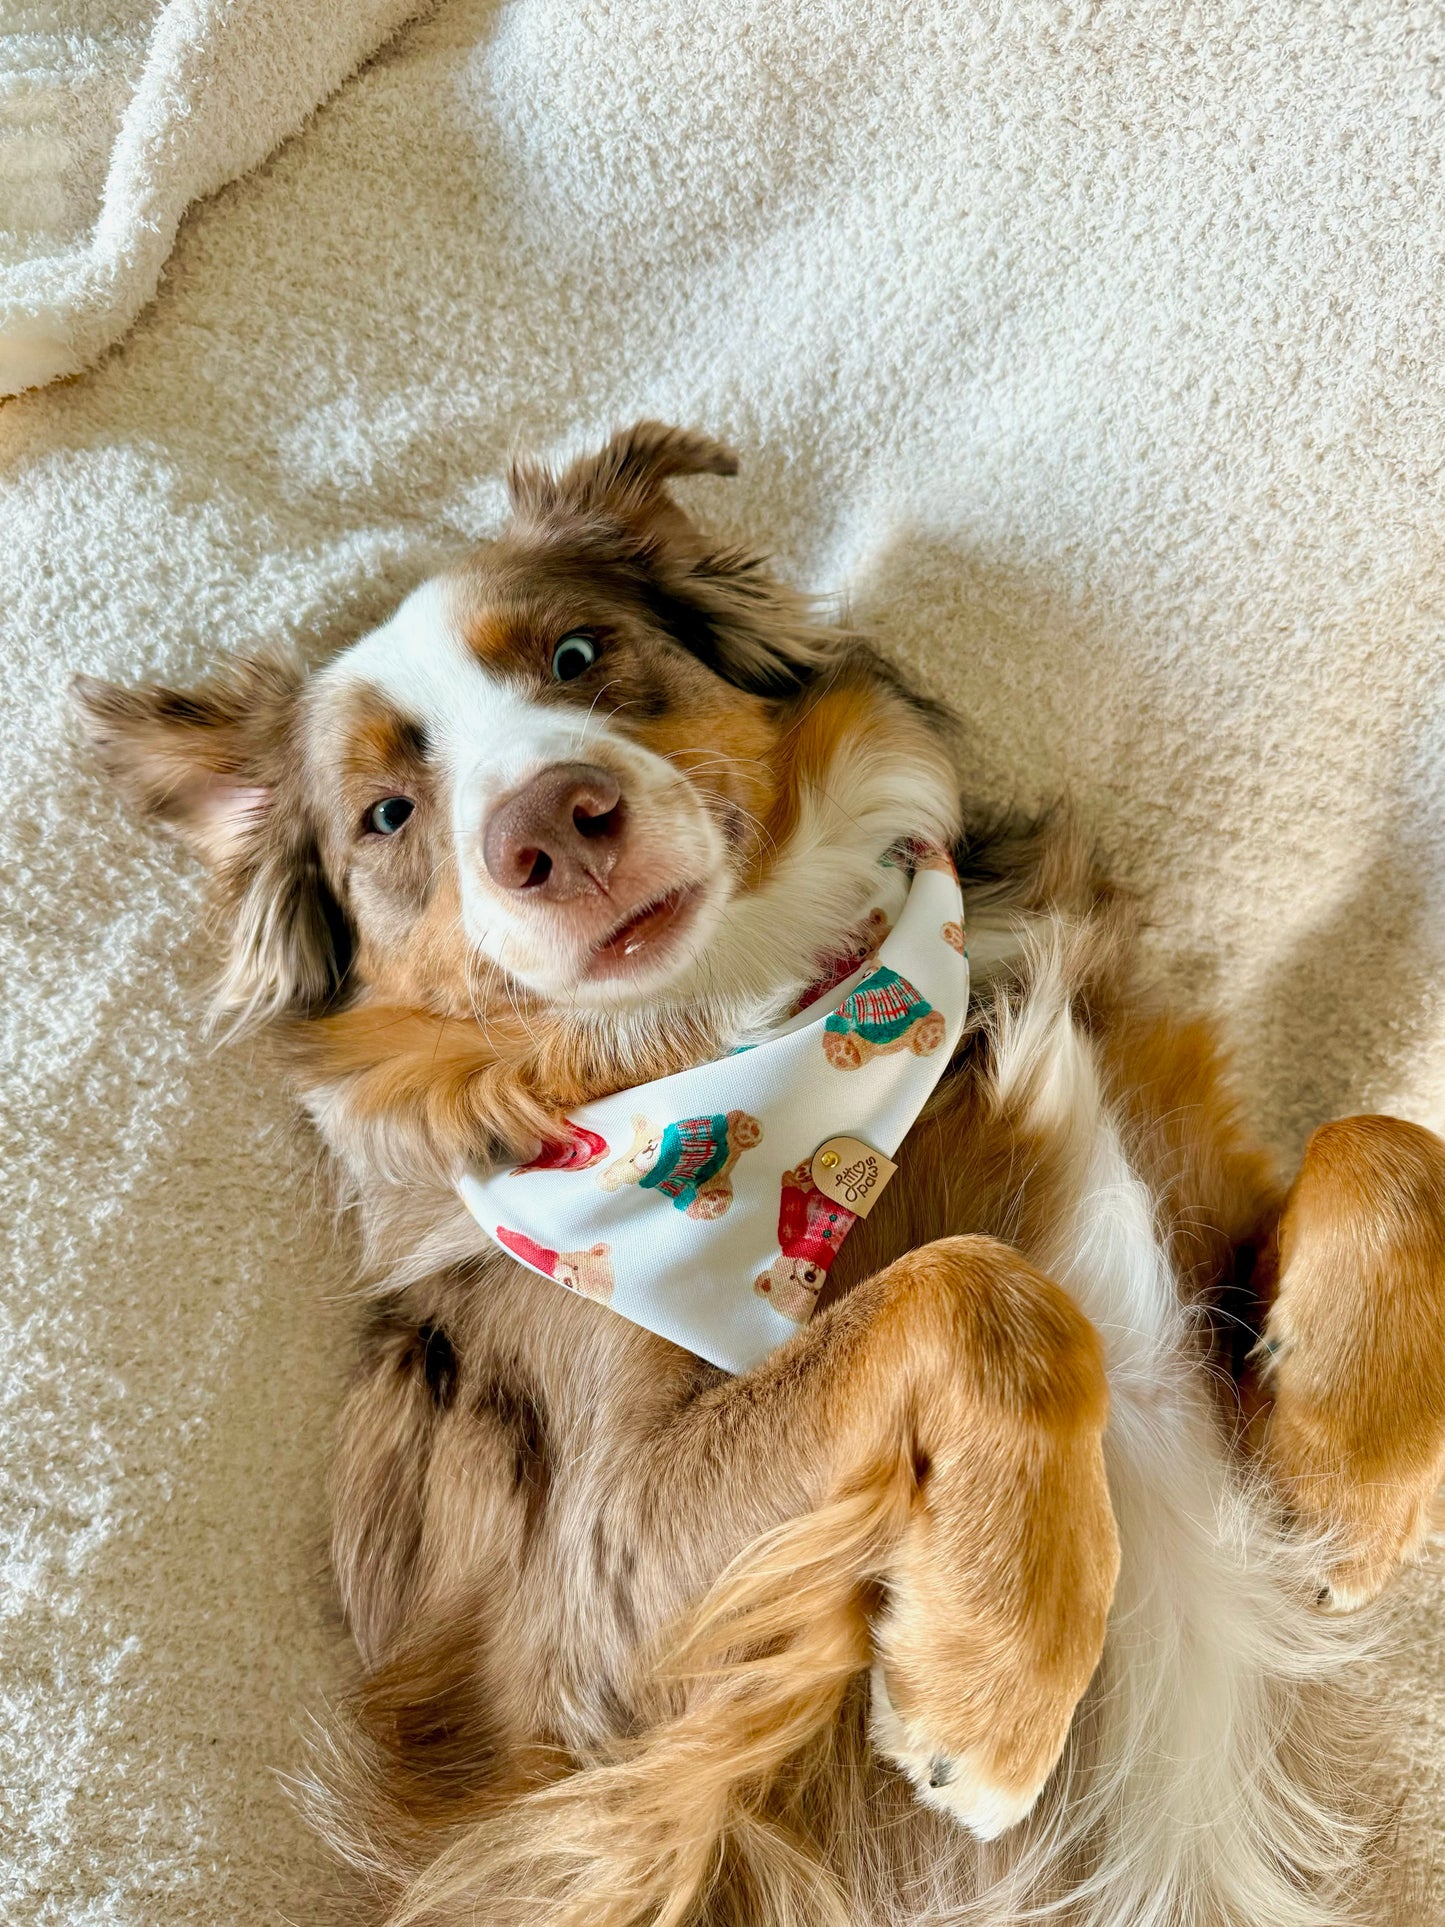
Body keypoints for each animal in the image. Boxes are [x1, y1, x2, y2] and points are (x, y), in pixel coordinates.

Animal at [76, 425, 1445, 1927]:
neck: (765, 1018)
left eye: (576, 652)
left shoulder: (1195, 1279)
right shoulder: (593, 1630)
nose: (551, 825)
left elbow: (1388, 1142)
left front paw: (1344, 1483)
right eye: (385, 813)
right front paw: (993, 1689)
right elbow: (986, 1290)